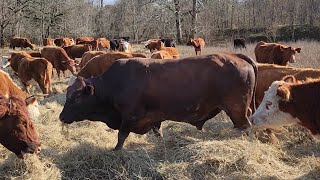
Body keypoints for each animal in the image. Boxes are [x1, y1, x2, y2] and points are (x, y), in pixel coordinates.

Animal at [58, 52, 256, 150]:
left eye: (76, 97)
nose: (61, 117)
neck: (114, 84)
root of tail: (236, 57)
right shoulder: (154, 118)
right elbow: (157, 132)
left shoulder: (128, 117)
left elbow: (121, 136)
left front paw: (116, 151)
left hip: (237, 111)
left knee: (246, 127)